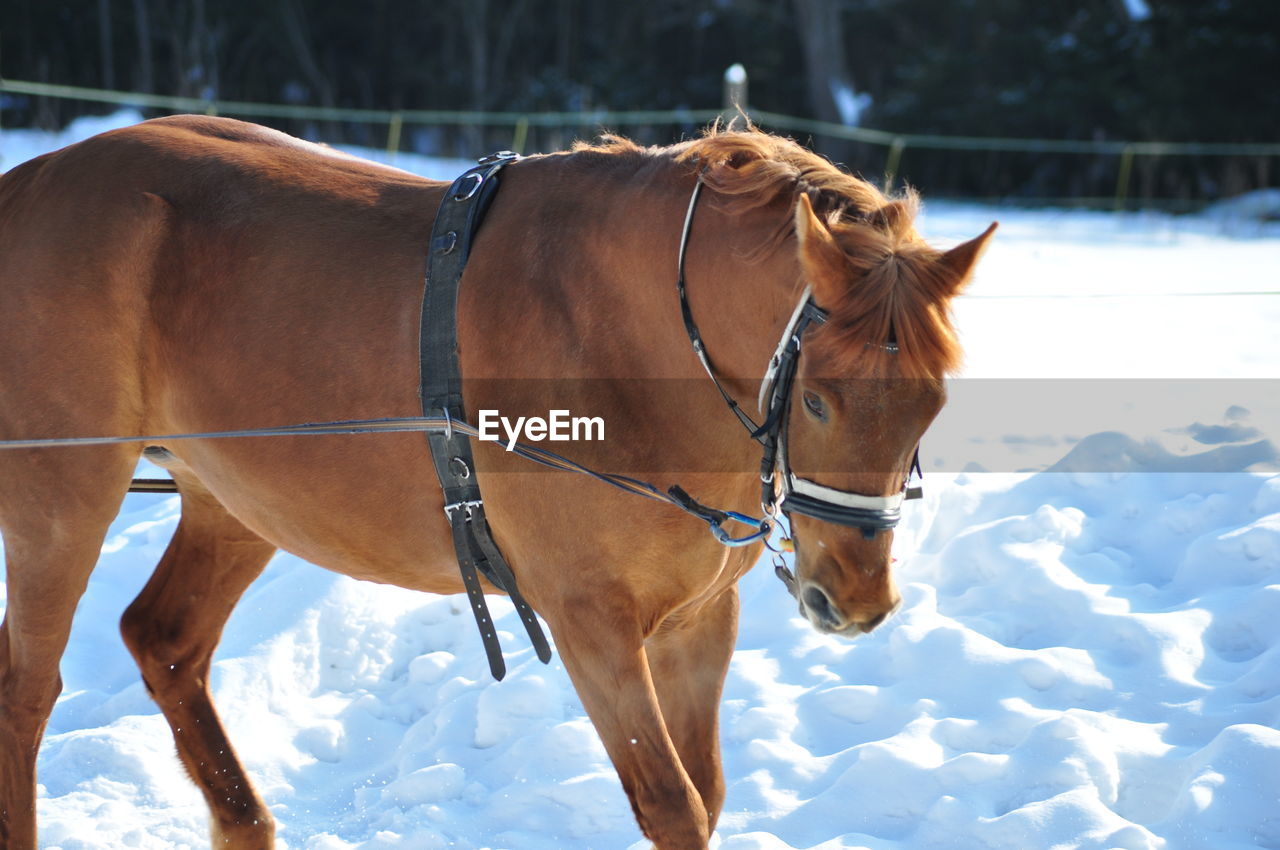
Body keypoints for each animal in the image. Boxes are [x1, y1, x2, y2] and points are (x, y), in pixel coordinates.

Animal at [0, 114, 993, 850]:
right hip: (64, 497)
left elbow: (706, 796)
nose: (854, 600)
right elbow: (671, 803)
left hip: (236, 504)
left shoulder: (698, 620)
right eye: (819, 400)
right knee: (28, 686)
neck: (626, 338)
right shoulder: (590, 620)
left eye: (936, 402)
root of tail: (30, 183)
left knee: (164, 642)